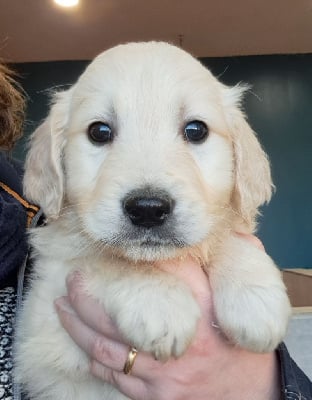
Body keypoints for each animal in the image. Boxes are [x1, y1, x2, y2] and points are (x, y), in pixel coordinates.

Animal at [14, 42, 292, 398]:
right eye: (99, 132)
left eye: (196, 130)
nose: (148, 208)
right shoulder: (44, 321)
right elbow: (101, 257)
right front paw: (160, 302)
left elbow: (227, 236)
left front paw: (255, 300)